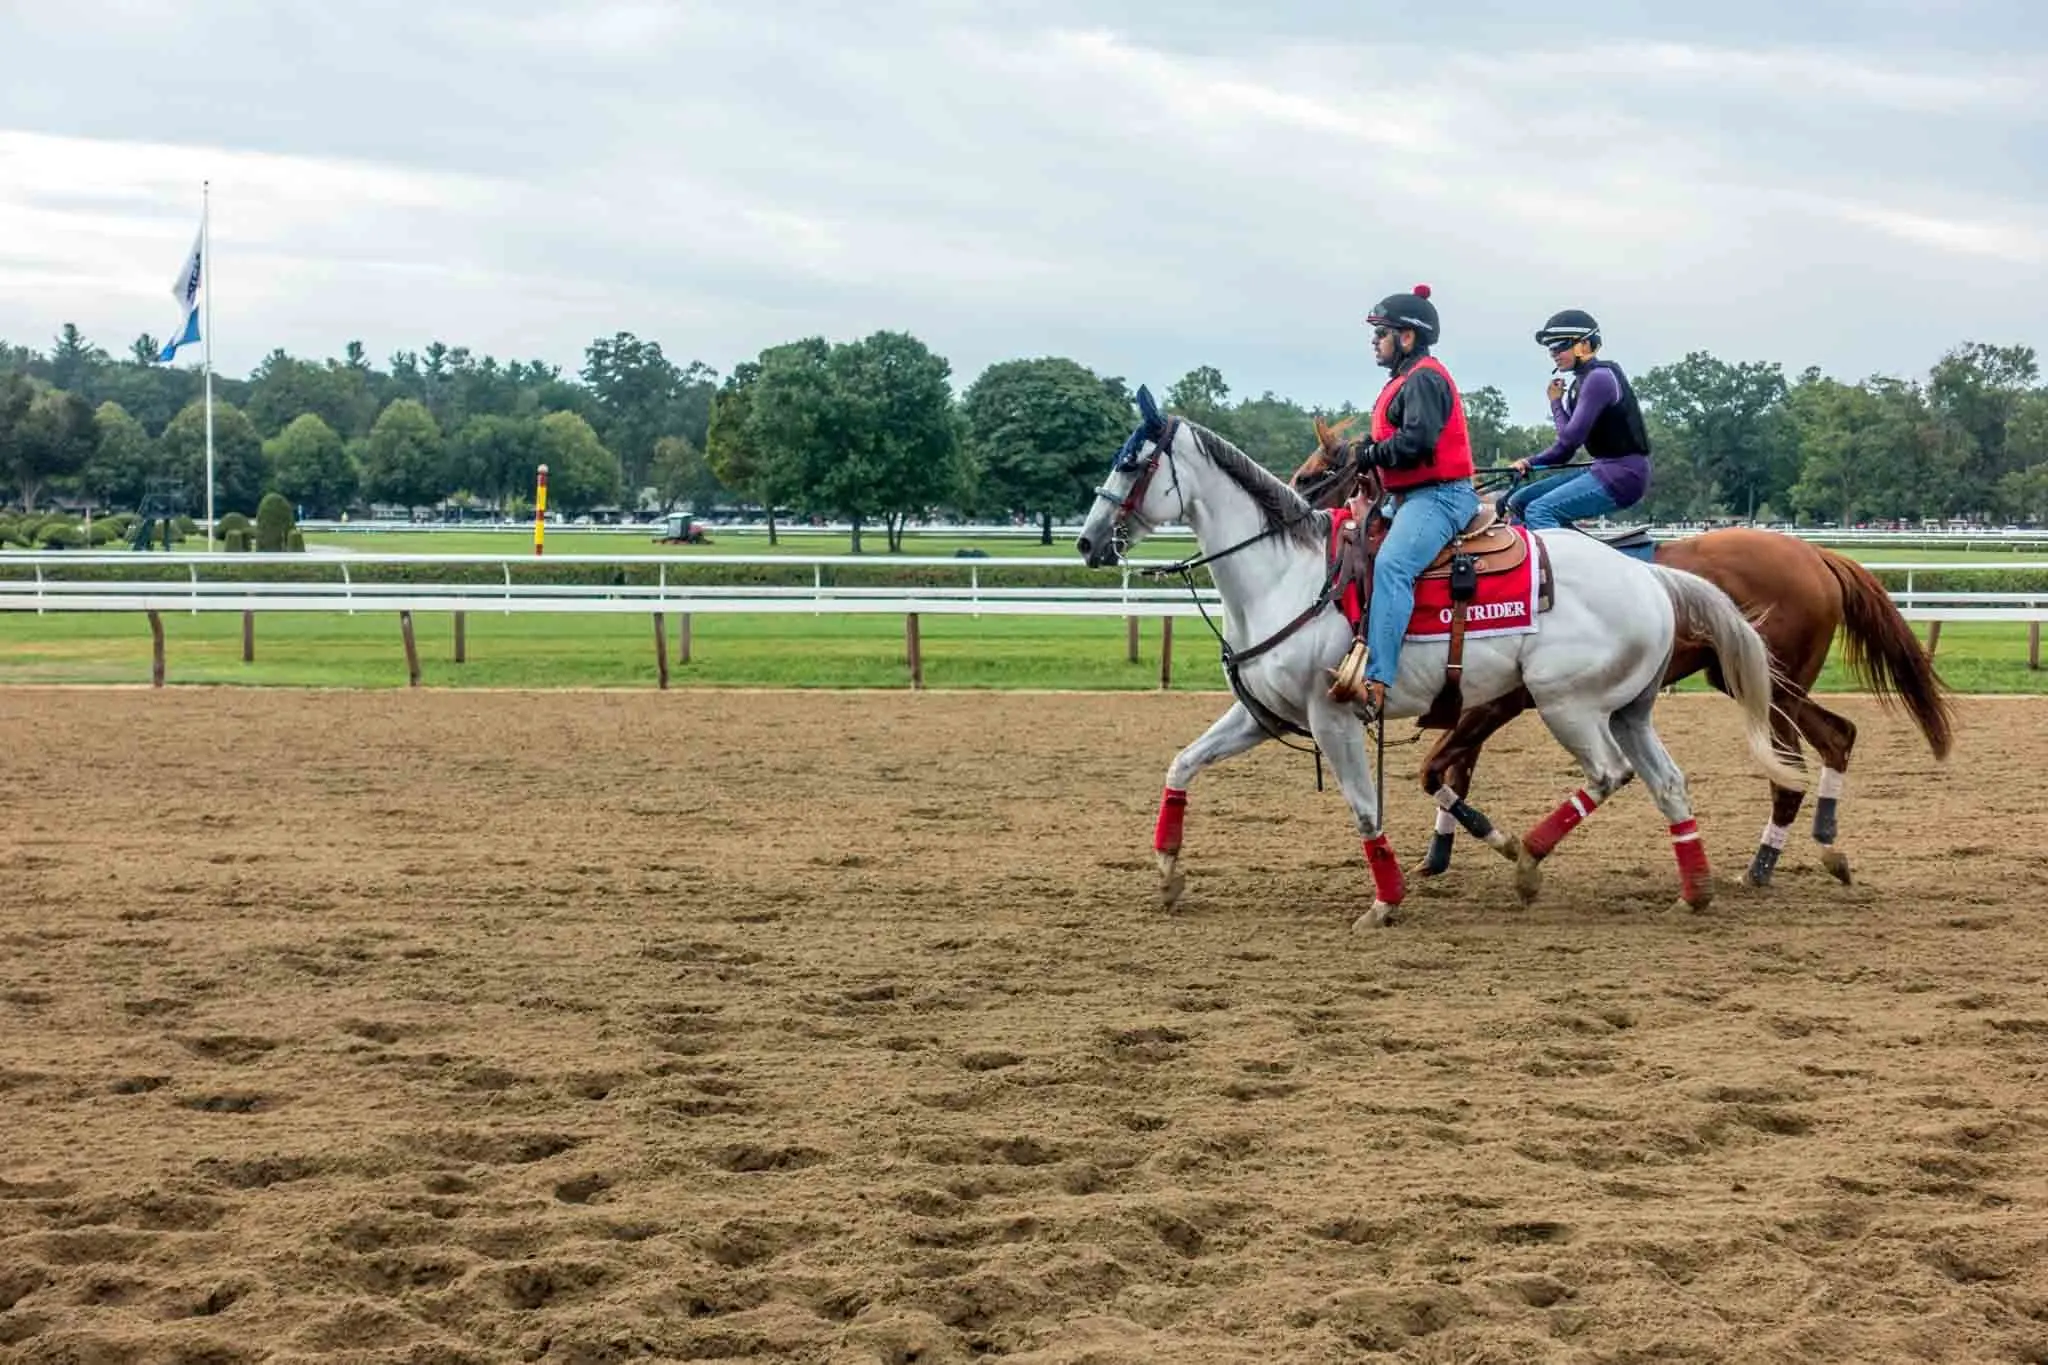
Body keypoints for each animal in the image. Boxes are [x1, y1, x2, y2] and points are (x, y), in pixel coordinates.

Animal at [1073, 388, 1810, 933]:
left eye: (1133, 463)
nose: (1086, 541)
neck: (1288, 574)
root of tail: (1650, 576)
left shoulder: (1332, 718)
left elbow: (1364, 809)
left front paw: (1386, 899)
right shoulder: (1262, 715)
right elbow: (1182, 764)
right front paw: (1169, 874)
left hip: (1568, 706)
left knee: (1609, 774)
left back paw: (1527, 857)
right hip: (1630, 709)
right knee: (1670, 783)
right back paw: (1694, 888)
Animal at [1286, 431, 1957, 892]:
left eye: (1318, 470)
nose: (1295, 500)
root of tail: (1817, 555)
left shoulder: (1495, 701)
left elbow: (1442, 769)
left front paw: (1479, 845)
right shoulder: (1478, 700)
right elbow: (1451, 770)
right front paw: (1440, 854)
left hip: (1773, 688)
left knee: (1795, 763)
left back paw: (1766, 862)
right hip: (1759, 682)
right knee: (1835, 737)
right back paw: (1815, 849)